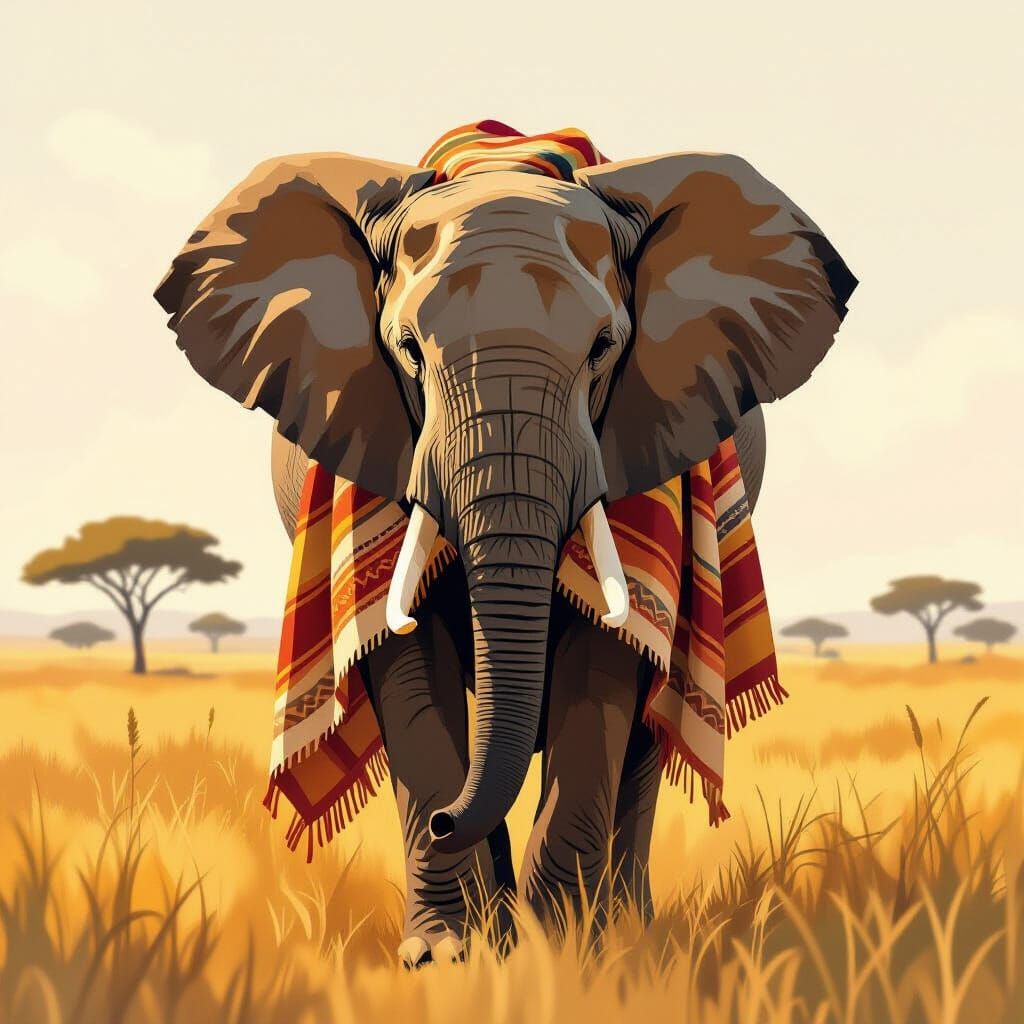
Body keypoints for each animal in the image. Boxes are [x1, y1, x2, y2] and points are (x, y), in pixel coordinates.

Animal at [156, 139, 855, 966]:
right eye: (407, 350)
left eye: (603, 349)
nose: (446, 820)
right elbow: (405, 659)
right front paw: (448, 959)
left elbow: (606, 658)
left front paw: (566, 953)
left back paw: (628, 926)